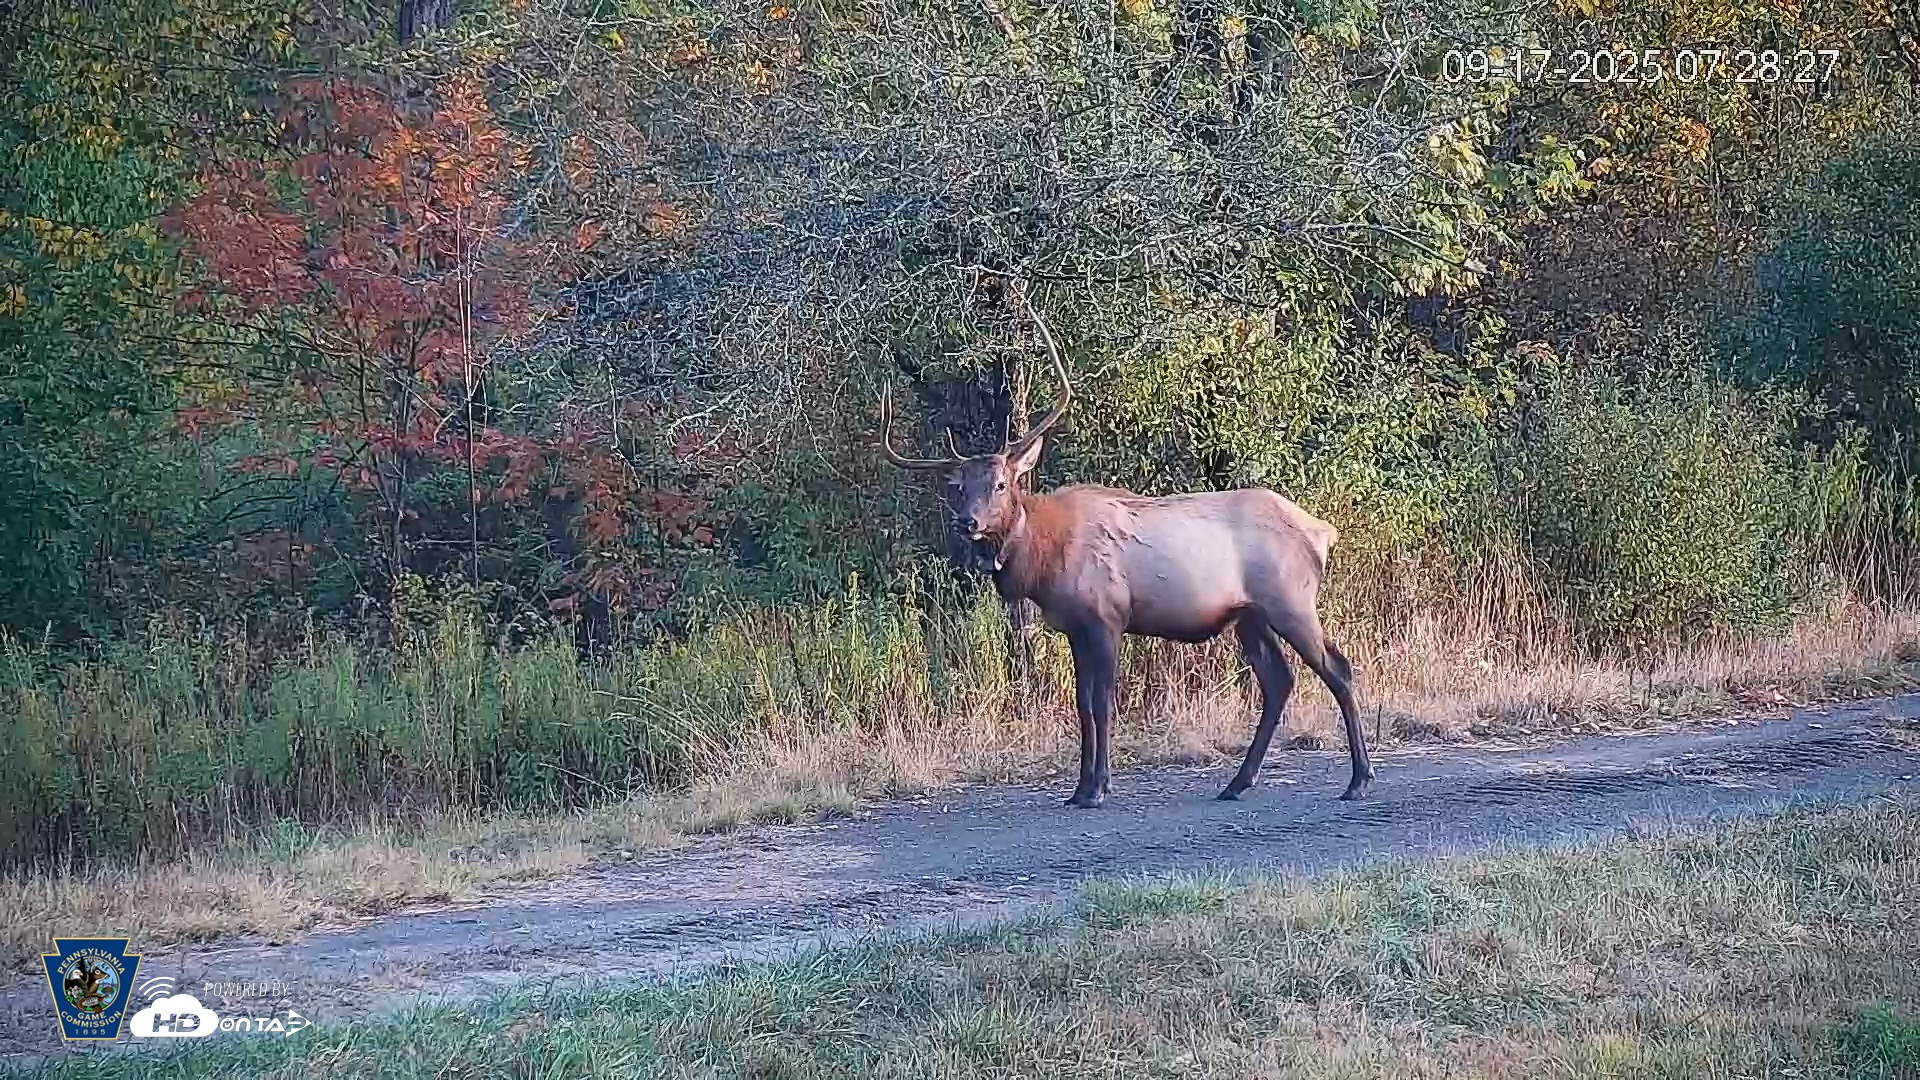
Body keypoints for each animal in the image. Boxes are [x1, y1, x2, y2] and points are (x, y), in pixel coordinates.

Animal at [877, 290, 1374, 808]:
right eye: (959, 489)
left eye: (1000, 484)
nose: (968, 523)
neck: (1045, 563)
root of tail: (1322, 532)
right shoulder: (1075, 627)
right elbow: (1081, 705)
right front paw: (1080, 788)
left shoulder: (1108, 617)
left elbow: (1102, 704)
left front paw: (1098, 787)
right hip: (1248, 614)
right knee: (1279, 681)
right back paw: (1238, 782)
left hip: (1290, 599)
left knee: (1338, 668)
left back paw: (1358, 779)